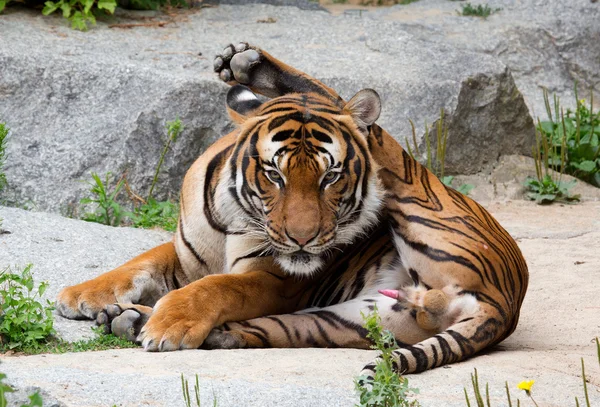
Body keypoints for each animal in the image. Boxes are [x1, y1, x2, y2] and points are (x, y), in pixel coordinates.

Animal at [54, 41, 528, 376]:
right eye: (274, 175)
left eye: (331, 177)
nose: (304, 239)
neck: (231, 217)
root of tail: (504, 303)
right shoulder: (189, 255)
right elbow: (141, 263)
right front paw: (82, 295)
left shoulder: (278, 280)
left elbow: (218, 288)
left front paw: (170, 323)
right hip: (344, 321)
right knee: (264, 329)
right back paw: (130, 321)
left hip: (412, 189)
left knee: (373, 132)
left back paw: (253, 66)